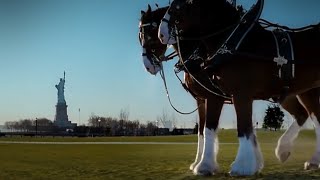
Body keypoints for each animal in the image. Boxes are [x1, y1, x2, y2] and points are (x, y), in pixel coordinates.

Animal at [159, 0, 320, 176]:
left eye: (184, 4)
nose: (162, 33)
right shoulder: (215, 95)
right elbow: (210, 128)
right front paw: (205, 165)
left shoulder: (238, 94)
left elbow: (241, 127)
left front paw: (241, 166)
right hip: (306, 91)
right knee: (311, 118)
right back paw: (303, 157)